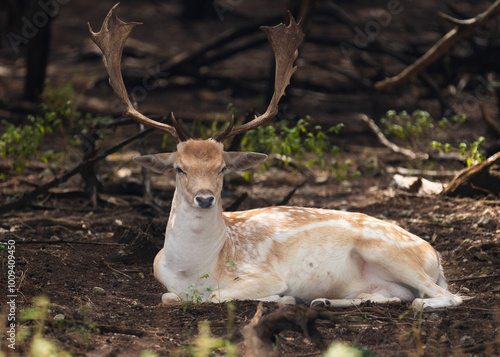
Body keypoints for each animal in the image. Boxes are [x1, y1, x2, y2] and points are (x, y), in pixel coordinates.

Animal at [88, 5, 462, 312]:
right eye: (180, 168)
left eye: (222, 168)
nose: (205, 198)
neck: (194, 269)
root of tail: (436, 256)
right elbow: (170, 296)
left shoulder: (263, 273)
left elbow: (211, 296)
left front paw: (280, 298)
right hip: (382, 277)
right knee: (397, 295)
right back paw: (327, 300)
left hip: (387, 252)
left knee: (448, 295)